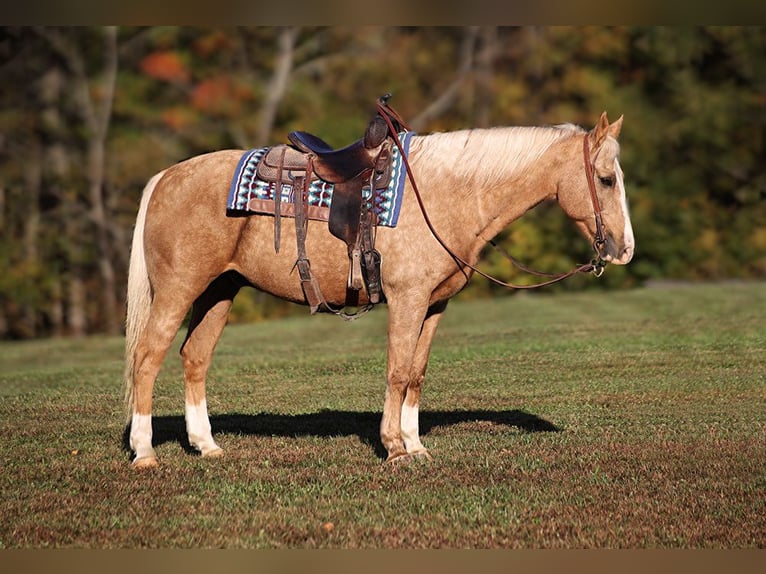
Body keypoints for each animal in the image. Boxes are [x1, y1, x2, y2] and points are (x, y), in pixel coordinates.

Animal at [124, 111, 636, 468]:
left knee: (194, 358)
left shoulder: (434, 305)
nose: (624, 249)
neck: (446, 195)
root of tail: (166, 177)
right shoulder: (407, 299)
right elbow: (396, 371)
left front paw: (415, 444)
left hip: (219, 291)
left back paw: (206, 445)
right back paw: (145, 453)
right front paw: (393, 447)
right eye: (606, 179)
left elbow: (416, 374)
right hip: (179, 289)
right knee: (147, 359)